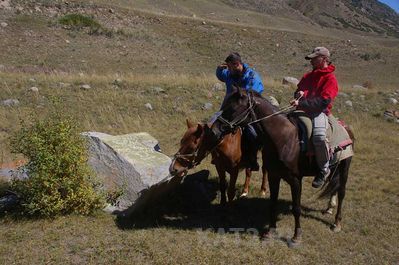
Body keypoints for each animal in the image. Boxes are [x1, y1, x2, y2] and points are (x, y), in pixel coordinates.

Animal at [217, 87, 354, 245]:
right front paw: (270, 232)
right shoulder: (273, 176)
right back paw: (328, 209)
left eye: (232, 108)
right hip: (334, 168)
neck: (283, 139)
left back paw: (336, 223)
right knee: (334, 187)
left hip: (345, 167)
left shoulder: (295, 180)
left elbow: (296, 208)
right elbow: (273, 204)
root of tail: (345, 128)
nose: (216, 129)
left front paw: (296, 236)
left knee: (342, 192)